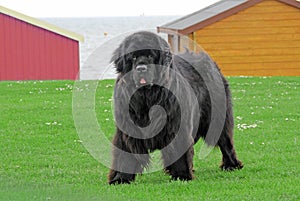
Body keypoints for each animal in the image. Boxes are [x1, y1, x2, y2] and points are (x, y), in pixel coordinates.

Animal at [109, 31, 243, 184]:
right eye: (133, 57)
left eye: (150, 56)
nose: (141, 68)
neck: (147, 98)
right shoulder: (128, 128)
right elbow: (125, 153)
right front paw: (120, 178)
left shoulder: (176, 125)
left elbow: (179, 148)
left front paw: (182, 175)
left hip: (217, 117)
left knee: (225, 141)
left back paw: (231, 164)